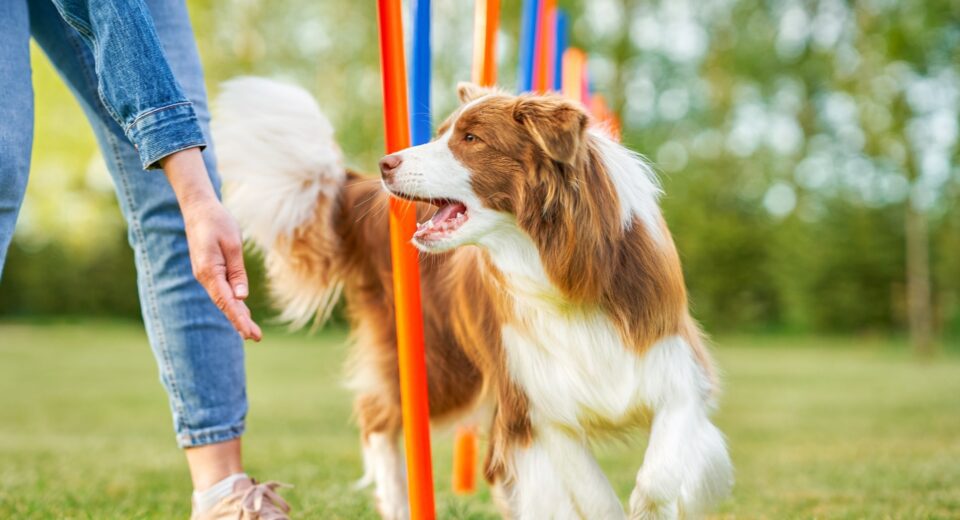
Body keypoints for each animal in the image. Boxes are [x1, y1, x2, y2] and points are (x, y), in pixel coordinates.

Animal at [214, 78, 732, 520]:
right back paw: (398, 502)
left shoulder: (671, 362)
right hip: (440, 365)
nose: (386, 163)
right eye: (444, 133)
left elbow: (663, 467)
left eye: (470, 138)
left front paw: (653, 505)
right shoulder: (533, 401)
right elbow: (593, 494)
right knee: (376, 415)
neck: (560, 269)